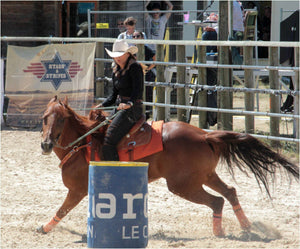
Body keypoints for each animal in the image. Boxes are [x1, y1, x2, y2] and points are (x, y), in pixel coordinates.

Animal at [39, 96, 298, 237]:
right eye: (44, 118)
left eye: (61, 119)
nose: (45, 144)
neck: (82, 143)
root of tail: (204, 135)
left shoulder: (77, 190)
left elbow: (62, 209)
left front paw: (44, 228)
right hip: (205, 176)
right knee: (230, 192)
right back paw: (246, 226)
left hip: (182, 185)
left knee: (217, 201)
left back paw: (220, 232)